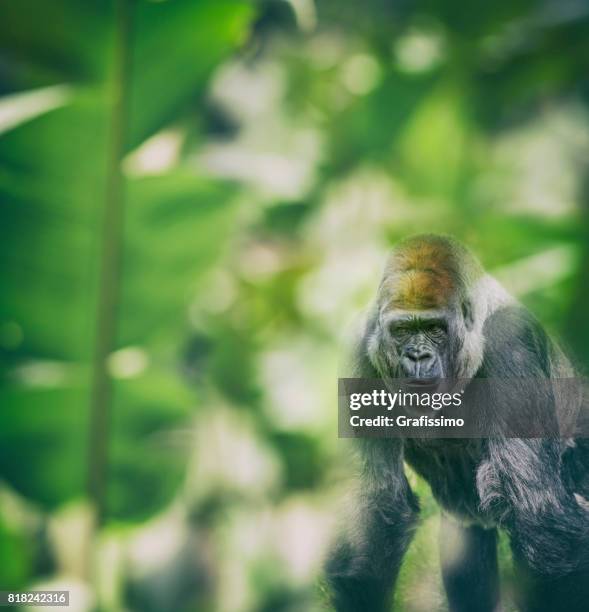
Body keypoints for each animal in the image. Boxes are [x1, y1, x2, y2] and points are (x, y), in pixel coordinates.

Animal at [324, 235, 588, 612]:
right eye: (402, 330)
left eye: (435, 329)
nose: (417, 356)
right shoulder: (359, 351)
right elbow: (377, 500)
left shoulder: (511, 343)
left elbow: (539, 517)